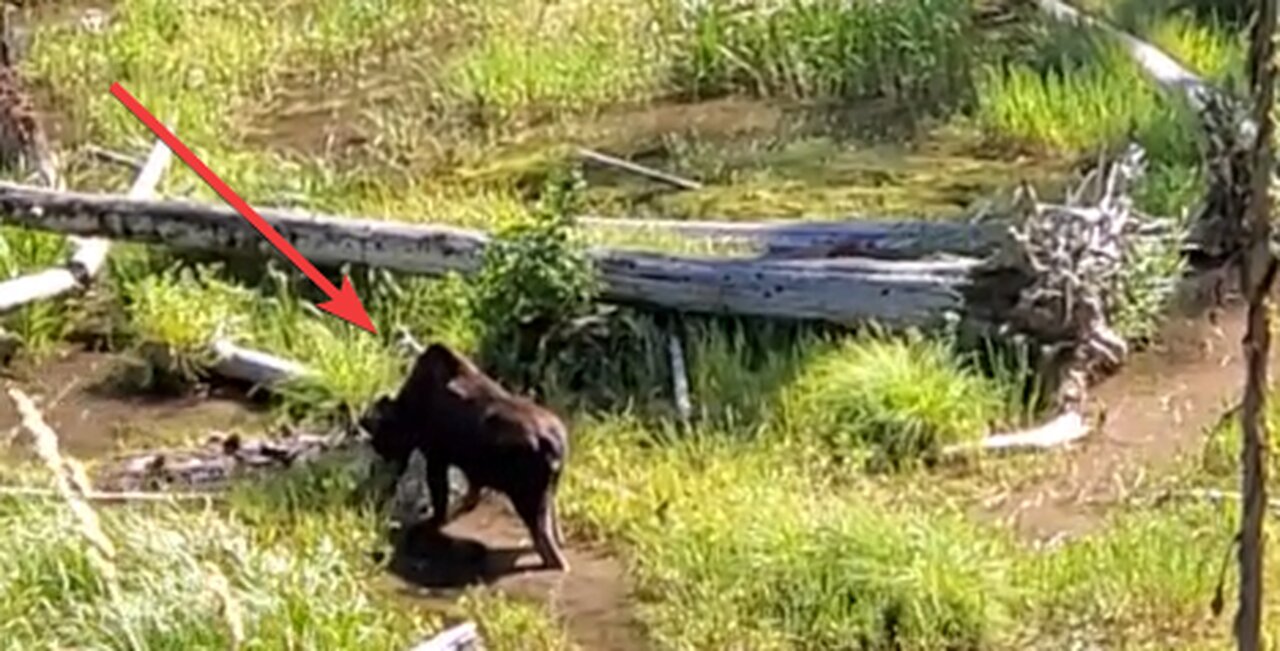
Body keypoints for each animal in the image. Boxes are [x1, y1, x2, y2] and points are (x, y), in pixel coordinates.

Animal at [353, 342, 568, 570]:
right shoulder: (473, 471)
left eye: (380, 438)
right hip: (550, 489)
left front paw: (431, 521)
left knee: (546, 542)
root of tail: (558, 446)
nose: (382, 465)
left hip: (527, 497)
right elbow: (469, 497)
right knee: (554, 523)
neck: (409, 412)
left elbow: (441, 501)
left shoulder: (436, 457)